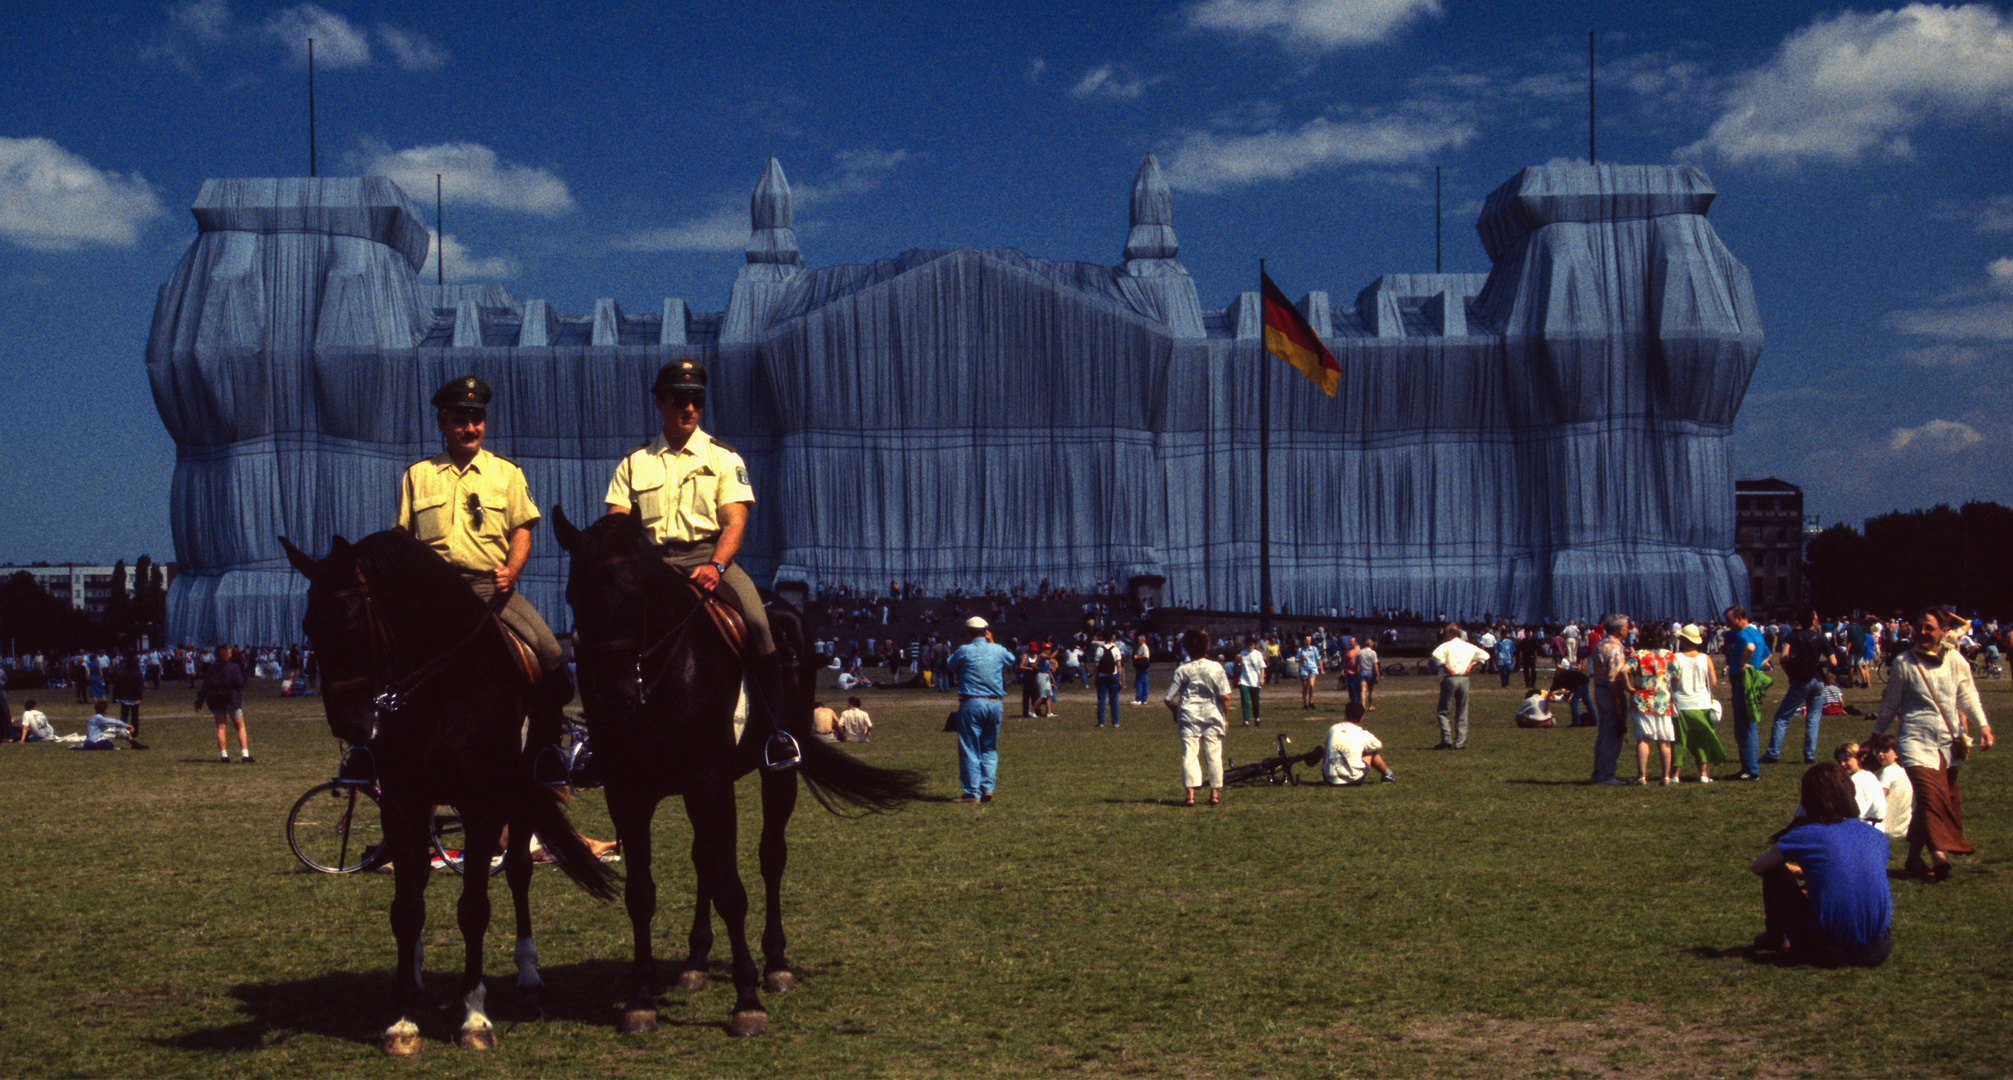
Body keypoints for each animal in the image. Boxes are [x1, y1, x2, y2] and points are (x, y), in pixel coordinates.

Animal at [279, 530, 615, 1053]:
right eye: (310, 627)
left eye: (353, 620)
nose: (350, 724)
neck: (440, 686)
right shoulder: (402, 803)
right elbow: (406, 908)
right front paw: (402, 1019)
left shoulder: (482, 806)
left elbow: (474, 908)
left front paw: (474, 1017)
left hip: (520, 795)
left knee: (518, 872)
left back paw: (528, 973)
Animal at [555, 506, 921, 1037]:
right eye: (574, 596)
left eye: (635, 589)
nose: (618, 696)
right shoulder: (629, 792)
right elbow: (641, 894)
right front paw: (641, 1000)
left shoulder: (710, 783)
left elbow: (733, 889)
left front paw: (747, 1000)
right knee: (705, 858)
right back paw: (695, 963)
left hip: (774, 774)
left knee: (771, 857)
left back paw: (776, 965)